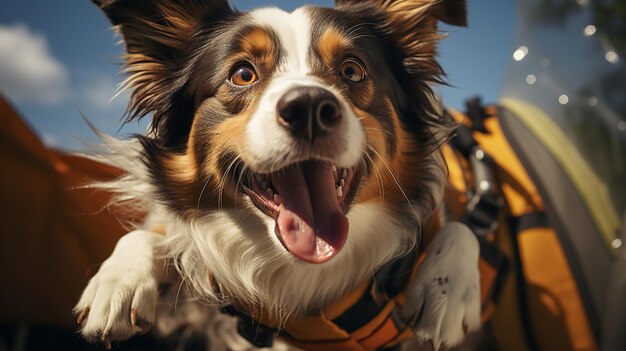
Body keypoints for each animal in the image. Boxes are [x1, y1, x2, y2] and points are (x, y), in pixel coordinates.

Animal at [75, 0, 480, 350]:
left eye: (352, 70)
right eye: (242, 74)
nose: (310, 108)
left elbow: (464, 228)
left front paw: (447, 292)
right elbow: (154, 232)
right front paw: (117, 283)